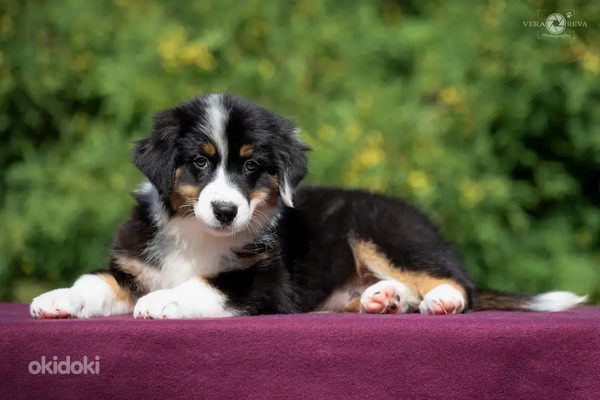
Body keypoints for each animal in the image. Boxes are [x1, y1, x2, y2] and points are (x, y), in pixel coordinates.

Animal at [29, 93, 584, 318]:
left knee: (455, 282)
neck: (197, 234)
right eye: (199, 162)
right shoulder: (131, 265)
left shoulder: (263, 281)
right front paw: (56, 299)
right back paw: (384, 298)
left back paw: (438, 299)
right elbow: (94, 281)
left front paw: (164, 301)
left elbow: (206, 285)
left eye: (252, 166)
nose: (227, 211)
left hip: (382, 230)